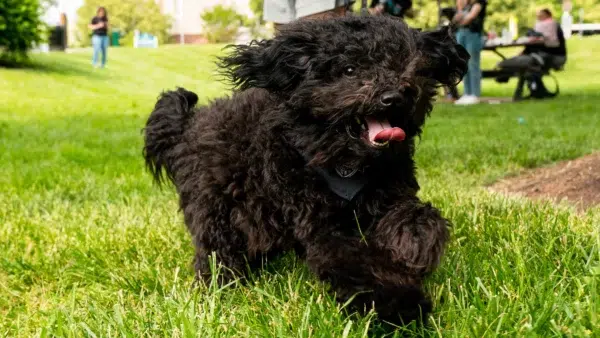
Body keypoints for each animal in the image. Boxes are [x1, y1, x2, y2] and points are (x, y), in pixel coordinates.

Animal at [144, 15, 468, 324]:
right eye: (349, 69)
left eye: (407, 66)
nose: (394, 96)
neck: (345, 164)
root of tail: (188, 126)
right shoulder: (321, 226)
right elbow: (359, 265)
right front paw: (400, 306)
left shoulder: (391, 191)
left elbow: (416, 216)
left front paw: (414, 246)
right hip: (215, 208)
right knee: (215, 252)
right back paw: (220, 288)